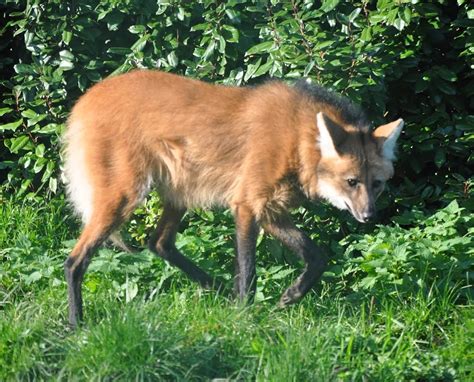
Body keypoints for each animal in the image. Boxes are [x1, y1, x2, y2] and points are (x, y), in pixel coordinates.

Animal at [63, 69, 404, 326]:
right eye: (351, 182)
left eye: (376, 184)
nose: (368, 216)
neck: (296, 140)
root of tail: (87, 98)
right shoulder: (247, 205)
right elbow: (248, 271)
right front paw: (244, 316)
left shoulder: (271, 210)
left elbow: (316, 257)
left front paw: (288, 297)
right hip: (123, 196)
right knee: (74, 260)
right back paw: (77, 325)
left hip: (178, 192)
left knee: (158, 242)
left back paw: (218, 289)